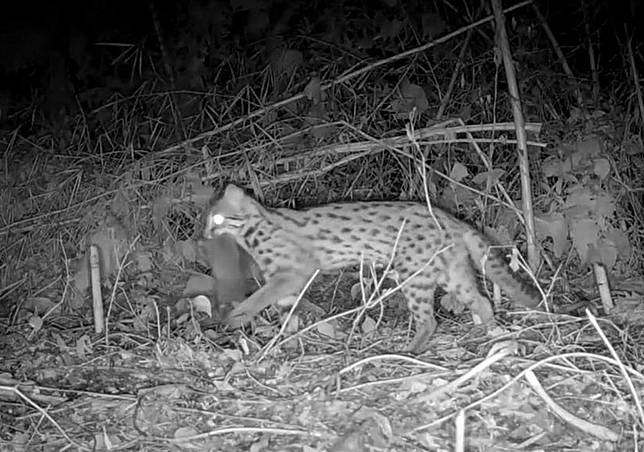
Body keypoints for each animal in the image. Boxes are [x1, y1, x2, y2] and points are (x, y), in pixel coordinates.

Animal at [204, 184, 540, 354]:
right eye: (207, 220)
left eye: (217, 219)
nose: (204, 235)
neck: (254, 229)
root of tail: (453, 220)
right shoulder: (285, 283)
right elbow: (288, 314)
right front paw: (283, 342)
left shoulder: (292, 273)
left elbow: (259, 299)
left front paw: (236, 317)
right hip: (451, 272)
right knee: (481, 300)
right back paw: (491, 332)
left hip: (414, 275)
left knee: (429, 321)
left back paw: (409, 350)